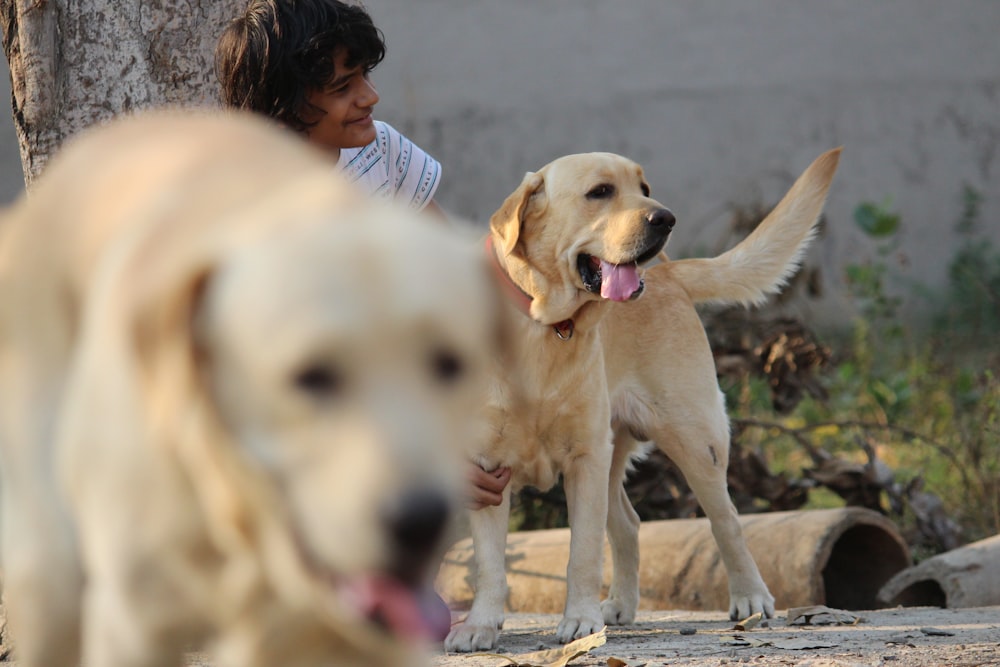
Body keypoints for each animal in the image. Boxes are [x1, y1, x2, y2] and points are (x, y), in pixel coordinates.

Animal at [450, 147, 840, 652]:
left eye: (645, 189)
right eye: (600, 192)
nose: (666, 218)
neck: (545, 327)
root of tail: (670, 272)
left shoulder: (585, 460)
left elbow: (582, 553)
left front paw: (579, 621)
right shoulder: (488, 468)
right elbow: (490, 565)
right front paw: (479, 625)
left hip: (694, 442)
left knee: (728, 521)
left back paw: (750, 597)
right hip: (616, 457)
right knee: (630, 524)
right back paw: (621, 606)